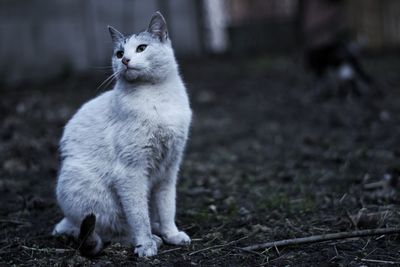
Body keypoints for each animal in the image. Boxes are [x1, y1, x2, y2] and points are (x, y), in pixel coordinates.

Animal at [52, 12, 192, 258]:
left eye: (141, 48)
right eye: (119, 53)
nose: (125, 60)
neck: (156, 96)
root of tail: (67, 220)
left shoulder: (169, 169)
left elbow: (168, 207)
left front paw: (173, 234)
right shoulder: (131, 173)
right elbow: (138, 217)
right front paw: (145, 246)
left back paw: (160, 232)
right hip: (92, 195)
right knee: (111, 231)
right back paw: (152, 239)